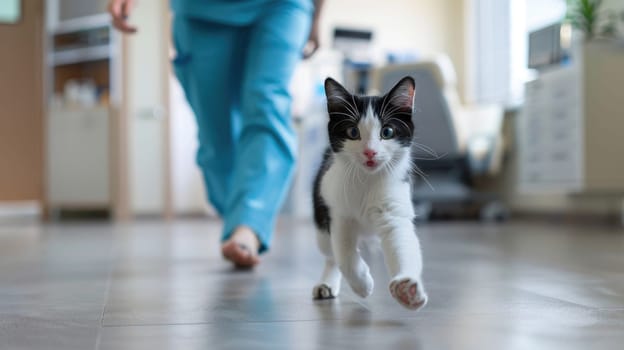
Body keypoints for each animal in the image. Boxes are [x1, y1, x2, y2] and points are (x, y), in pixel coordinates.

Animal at [312, 76, 428, 308]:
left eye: (387, 132)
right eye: (353, 132)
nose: (370, 152)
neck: (367, 180)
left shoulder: (395, 206)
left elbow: (402, 241)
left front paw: (406, 288)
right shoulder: (337, 210)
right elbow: (344, 253)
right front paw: (362, 284)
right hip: (320, 219)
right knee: (330, 254)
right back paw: (327, 283)